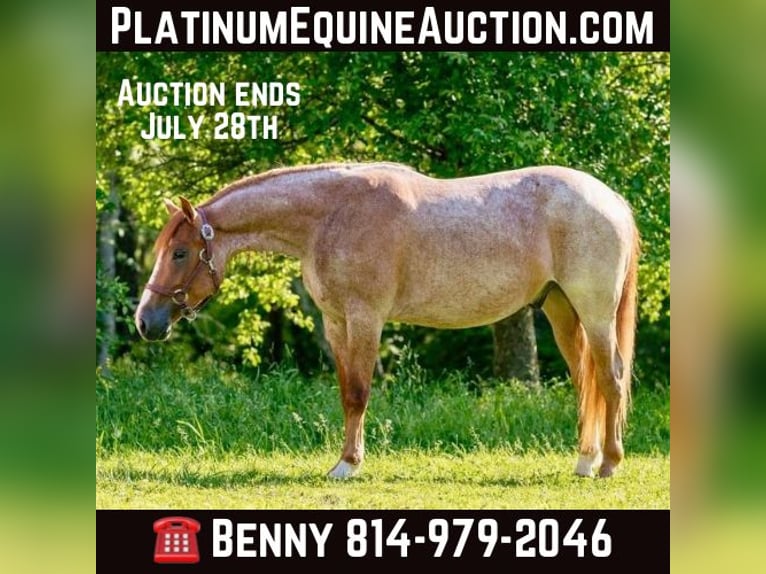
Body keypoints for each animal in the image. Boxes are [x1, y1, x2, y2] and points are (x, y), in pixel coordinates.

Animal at [135, 162, 639, 479]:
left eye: (179, 253)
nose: (145, 321)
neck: (331, 215)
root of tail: (611, 199)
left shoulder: (365, 317)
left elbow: (359, 392)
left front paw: (347, 465)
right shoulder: (336, 321)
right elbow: (345, 393)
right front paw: (344, 459)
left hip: (594, 312)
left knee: (610, 376)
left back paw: (609, 464)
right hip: (561, 310)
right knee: (586, 381)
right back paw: (585, 461)